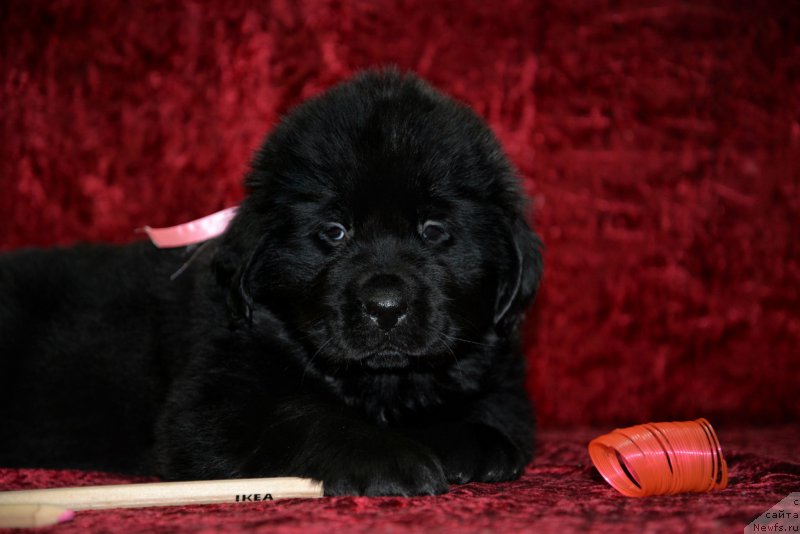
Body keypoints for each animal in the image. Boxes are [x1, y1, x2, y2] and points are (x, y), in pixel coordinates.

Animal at [0, 70, 544, 498]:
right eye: (334, 232)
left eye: (433, 230)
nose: (386, 306)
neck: (376, 381)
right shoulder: (210, 404)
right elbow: (299, 415)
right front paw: (388, 457)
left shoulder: (498, 377)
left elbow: (483, 403)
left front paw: (472, 438)